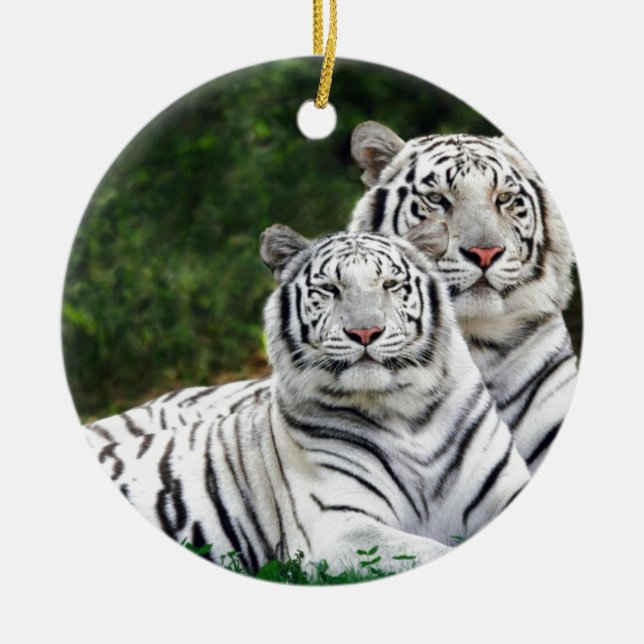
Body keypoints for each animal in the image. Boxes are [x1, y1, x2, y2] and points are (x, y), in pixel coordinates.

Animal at [85, 220, 530, 576]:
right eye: (330, 290)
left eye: (390, 285)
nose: (365, 332)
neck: (407, 412)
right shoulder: (339, 529)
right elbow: (433, 552)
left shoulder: (506, 487)